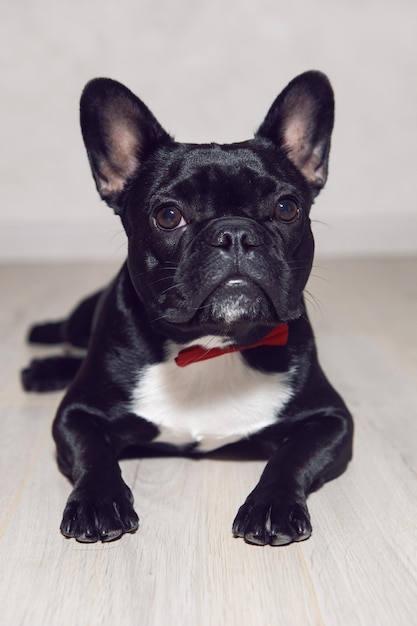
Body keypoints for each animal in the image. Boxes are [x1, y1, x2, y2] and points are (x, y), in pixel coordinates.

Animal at [21, 70, 352, 544]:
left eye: (287, 208)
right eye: (168, 215)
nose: (235, 233)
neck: (209, 345)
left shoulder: (331, 419)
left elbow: (292, 458)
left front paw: (271, 504)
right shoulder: (76, 415)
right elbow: (93, 455)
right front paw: (98, 502)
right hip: (81, 322)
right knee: (68, 335)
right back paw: (43, 359)